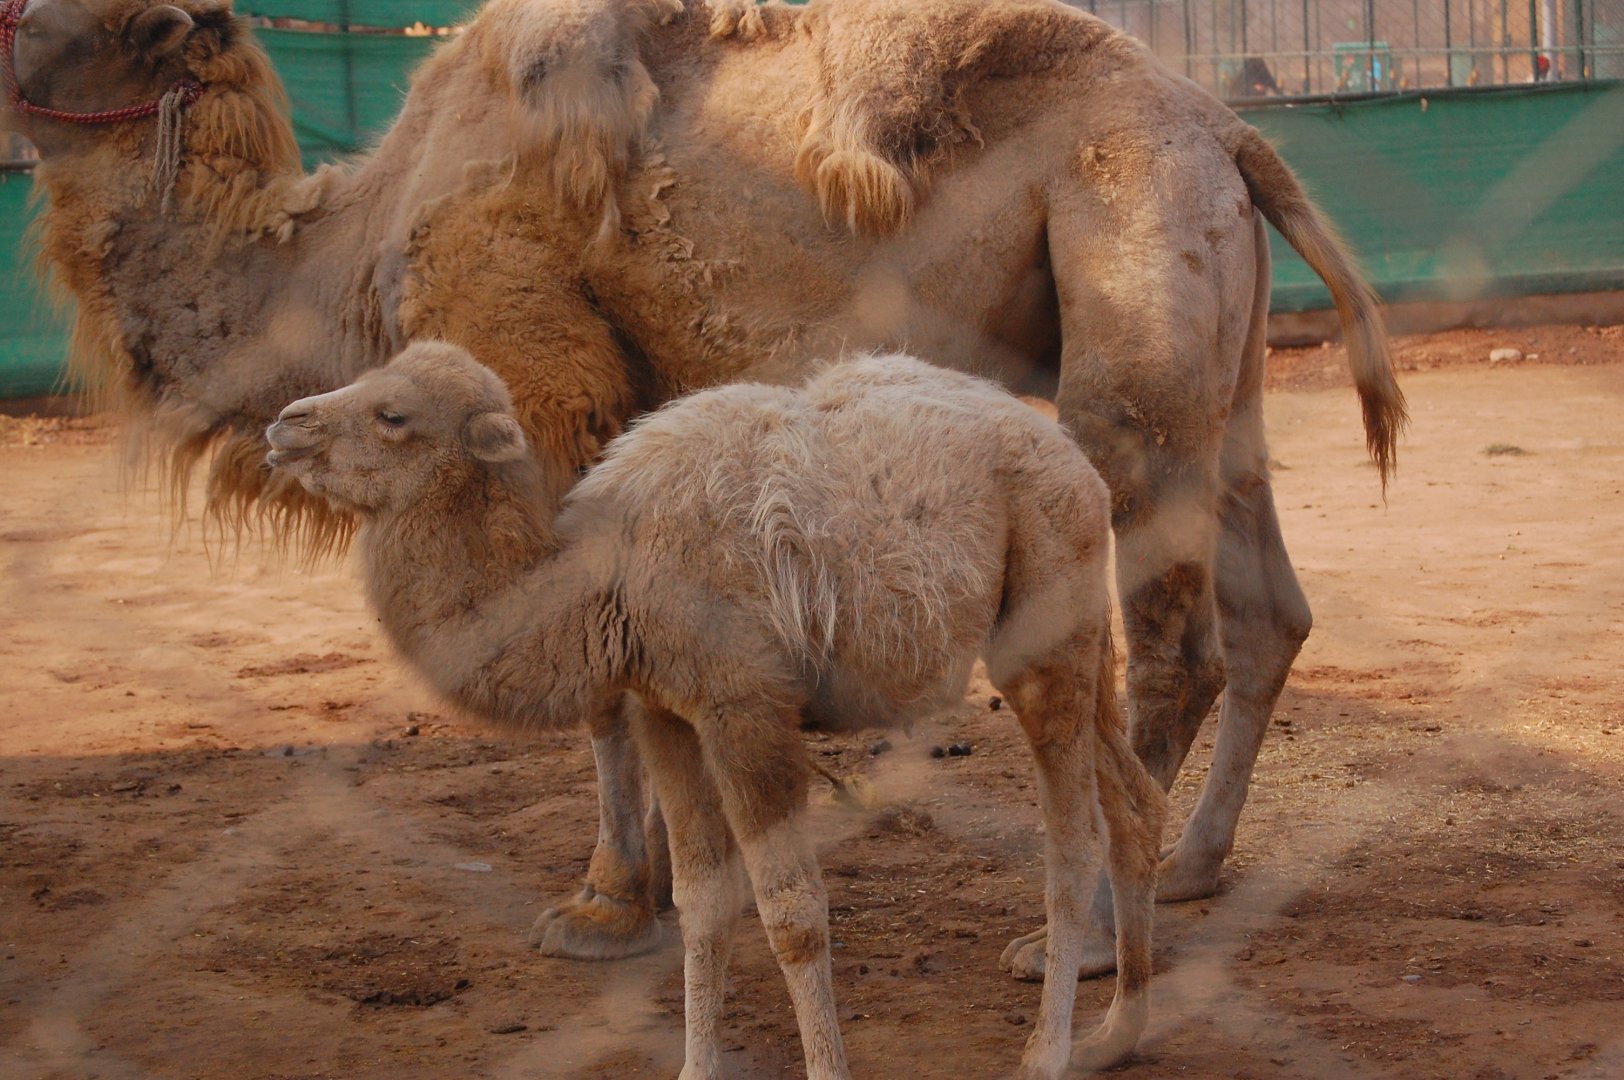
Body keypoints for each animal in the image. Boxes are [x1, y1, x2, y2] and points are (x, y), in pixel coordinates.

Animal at [4, 0, 1406, 970]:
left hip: (1129, 256)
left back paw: (1096, 933)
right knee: (1269, 602)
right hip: (1218, 339)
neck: (346, 243)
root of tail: (1224, 129)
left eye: (43, 17)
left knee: (1171, 631)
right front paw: (667, 885)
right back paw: (1196, 869)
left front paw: (605, 903)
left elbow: (587, 674)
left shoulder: (530, 367)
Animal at [264, 341, 1168, 1080]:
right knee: (1135, 804)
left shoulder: (747, 705)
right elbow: (702, 901)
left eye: (393, 415)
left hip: (1045, 621)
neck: (608, 576)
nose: (285, 424)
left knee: (1072, 838)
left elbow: (793, 913)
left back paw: (1046, 1053)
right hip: (1075, 630)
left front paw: (825, 1069)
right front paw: (696, 1068)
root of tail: (1076, 464)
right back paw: (1115, 1036)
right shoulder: (665, 709)